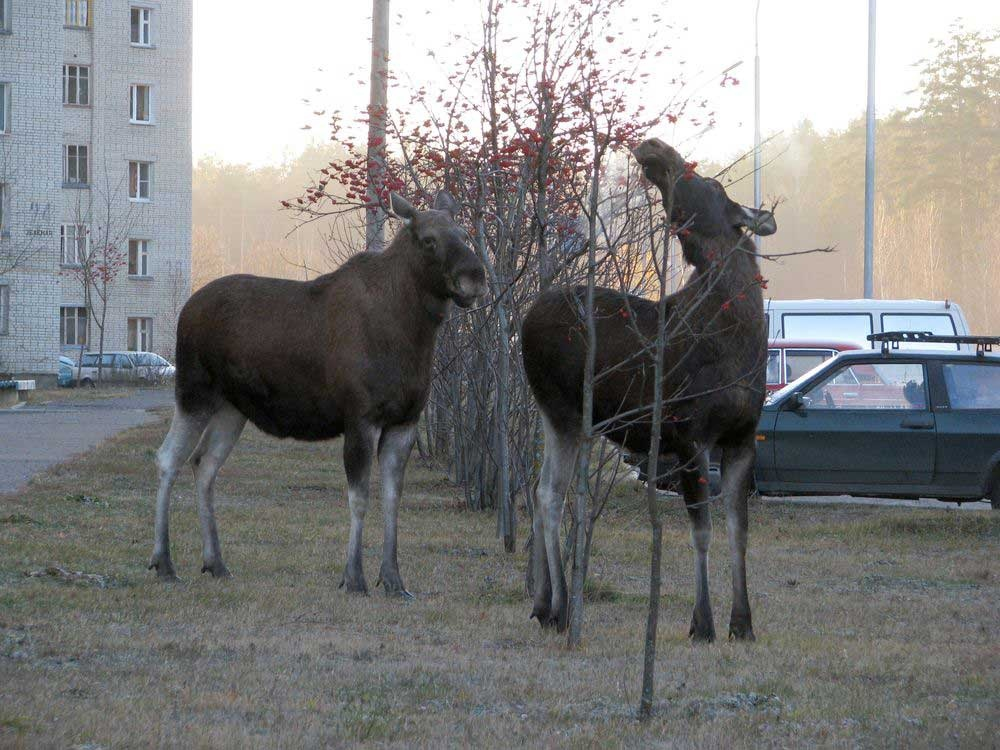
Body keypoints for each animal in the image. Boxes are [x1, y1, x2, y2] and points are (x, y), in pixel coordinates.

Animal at [149, 189, 488, 600]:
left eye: (464, 232)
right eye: (428, 240)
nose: (474, 276)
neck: (413, 335)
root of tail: (184, 311)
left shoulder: (405, 421)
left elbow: (392, 500)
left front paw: (394, 580)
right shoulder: (360, 418)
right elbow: (359, 499)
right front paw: (354, 578)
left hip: (233, 407)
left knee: (204, 463)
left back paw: (215, 562)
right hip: (193, 392)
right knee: (168, 458)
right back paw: (164, 563)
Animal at [520, 140, 776, 640]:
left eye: (710, 183)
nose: (655, 149)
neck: (741, 335)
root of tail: (521, 321)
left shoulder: (742, 438)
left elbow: (739, 532)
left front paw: (743, 623)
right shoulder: (690, 435)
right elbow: (703, 532)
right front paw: (702, 623)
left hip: (552, 414)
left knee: (542, 490)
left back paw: (541, 604)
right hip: (564, 411)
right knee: (549, 496)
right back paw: (561, 607)